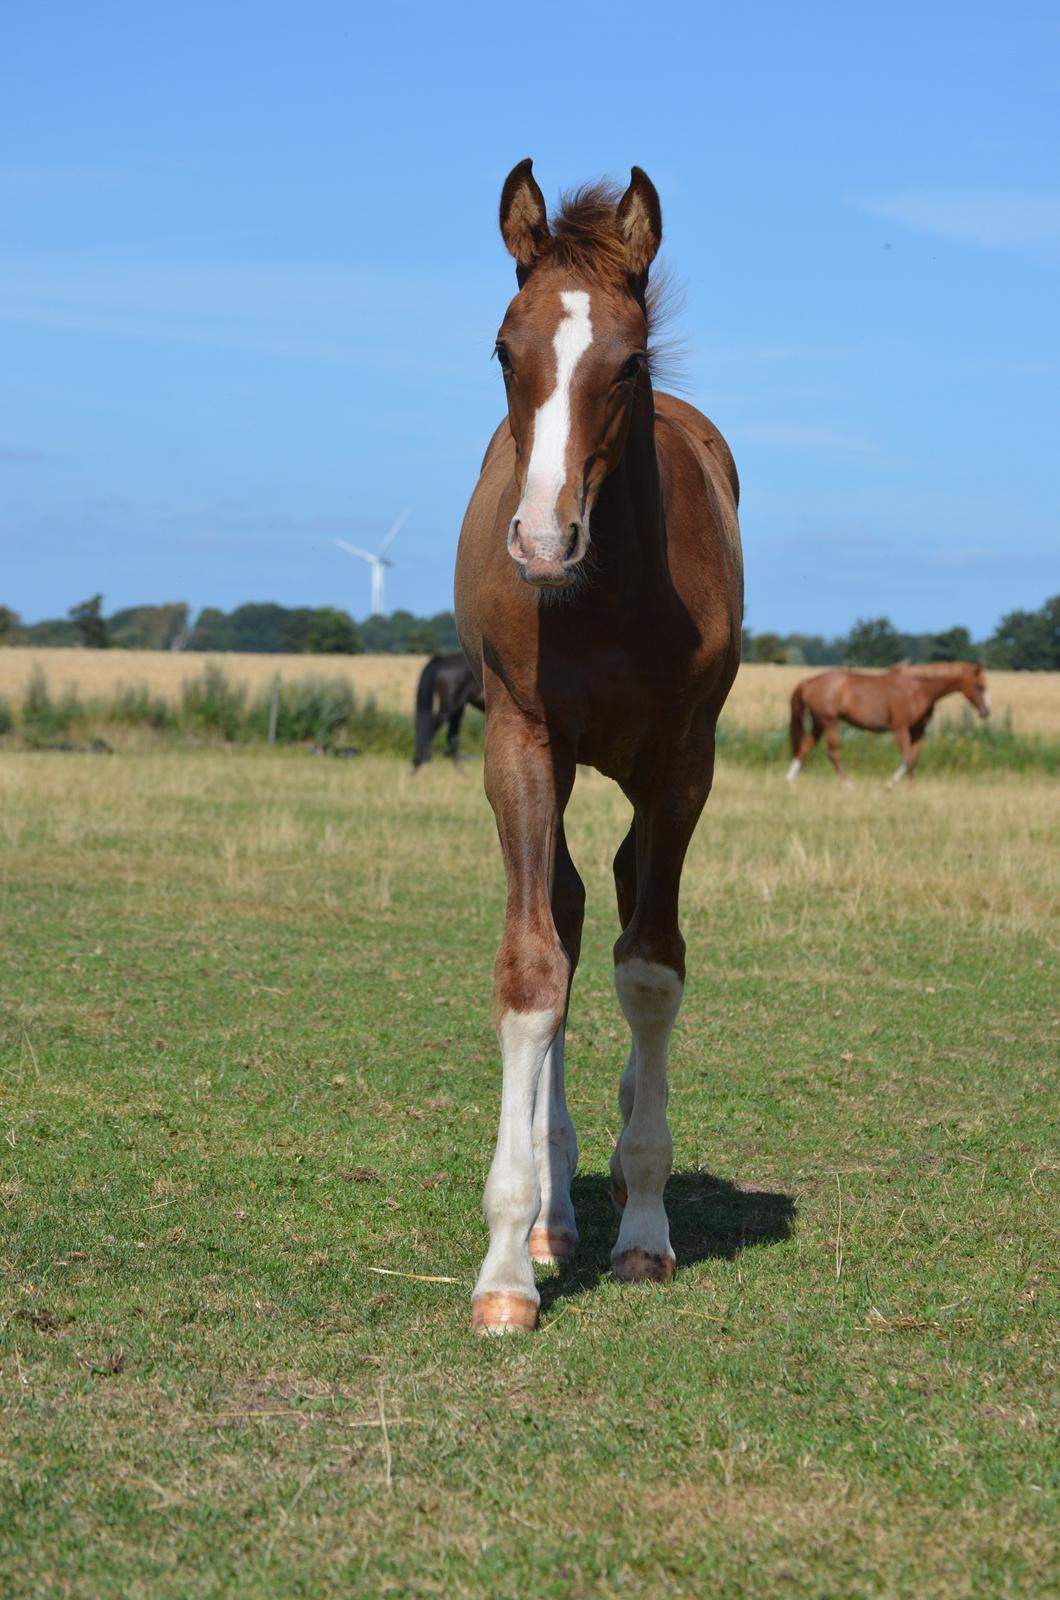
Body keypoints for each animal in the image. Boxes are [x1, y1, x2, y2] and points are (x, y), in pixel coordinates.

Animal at [787, 662, 999, 787]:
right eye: (979, 686)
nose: (986, 711)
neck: (918, 689)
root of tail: (810, 682)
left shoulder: (918, 730)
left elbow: (914, 758)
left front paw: (912, 788)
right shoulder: (900, 728)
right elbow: (907, 757)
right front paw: (890, 785)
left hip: (819, 724)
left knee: (804, 748)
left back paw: (789, 779)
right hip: (829, 722)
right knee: (832, 752)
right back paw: (848, 784)